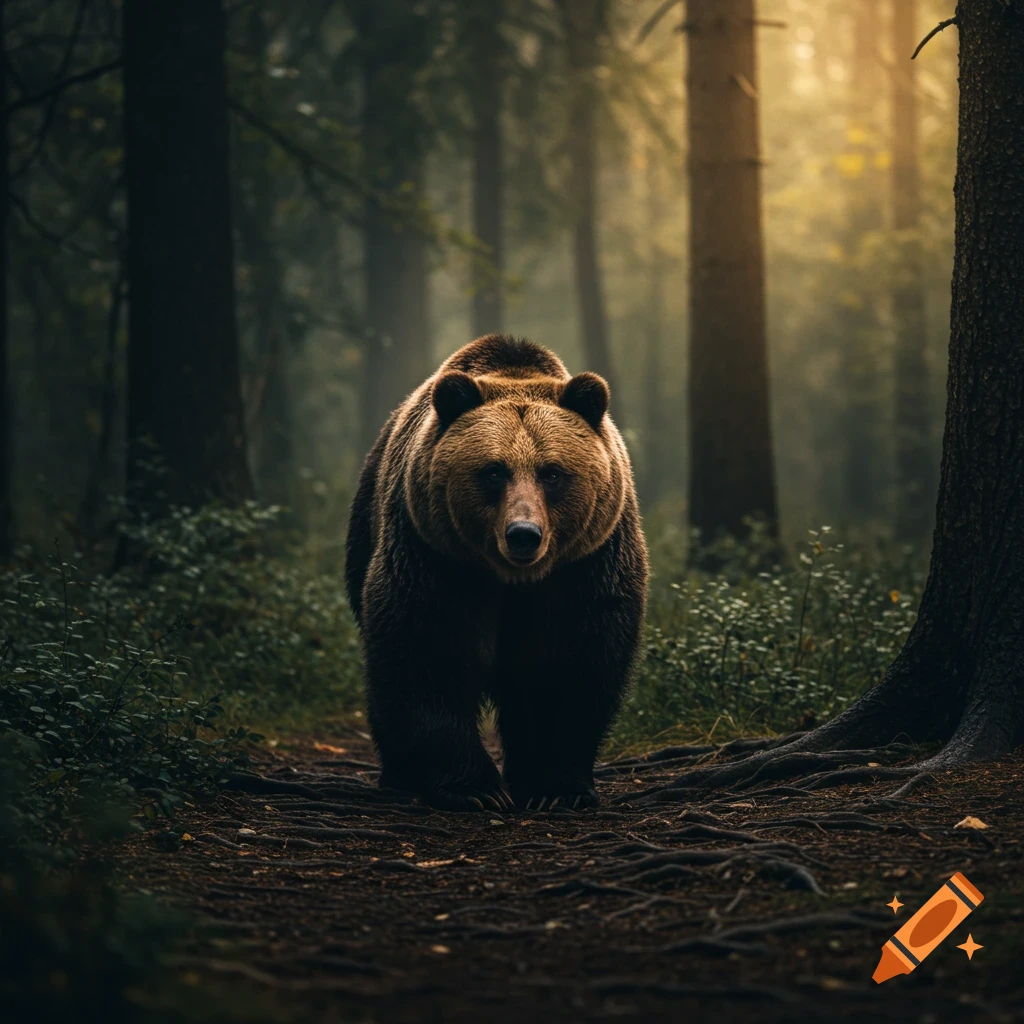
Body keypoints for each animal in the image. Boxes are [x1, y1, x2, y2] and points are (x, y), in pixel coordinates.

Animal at [344, 334, 648, 811]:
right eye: (493, 471)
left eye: (552, 473)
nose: (523, 534)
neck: (514, 580)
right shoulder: (435, 558)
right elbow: (427, 651)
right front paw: (476, 789)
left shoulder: (587, 565)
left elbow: (576, 665)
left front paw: (558, 786)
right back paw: (399, 775)